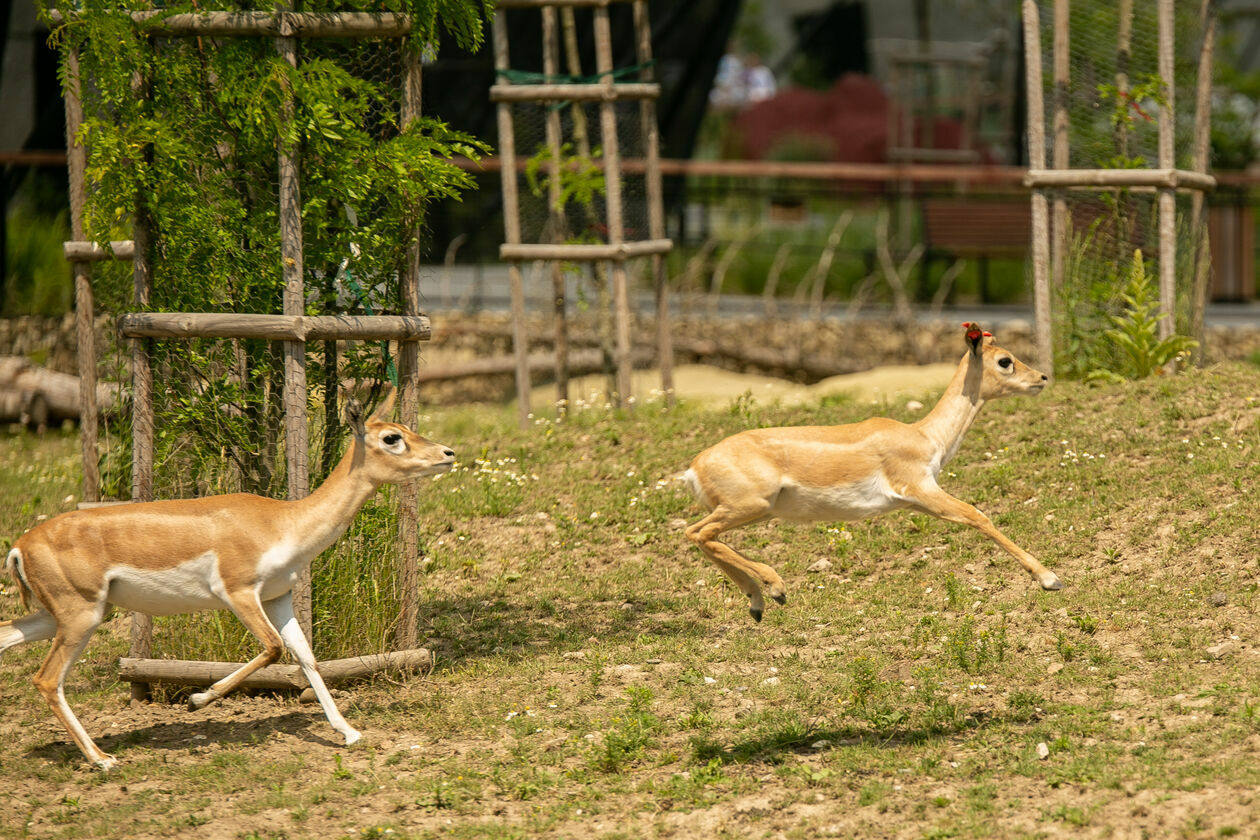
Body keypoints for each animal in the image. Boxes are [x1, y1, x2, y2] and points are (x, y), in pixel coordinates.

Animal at [0, 387, 453, 770]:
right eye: (392, 437)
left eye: (406, 428)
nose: (447, 453)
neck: (283, 521)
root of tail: (21, 544)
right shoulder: (237, 592)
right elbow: (273, 649)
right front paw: (196, 700)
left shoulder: (278, 596)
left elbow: (307, 658)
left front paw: (350, 732)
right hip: (82, 616)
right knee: (46, 679)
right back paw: (102, 759)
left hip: (60, 616)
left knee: (11, 640)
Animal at [685, 324, 1058, 622]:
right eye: (1005, 360)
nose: (1042, 378)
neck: (924, 436)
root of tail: (694, 466)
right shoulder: (921, 488)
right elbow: (978, 515)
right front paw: (1051, 579)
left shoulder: (916, 502)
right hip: (750, 507)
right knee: (698, 532)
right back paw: (776, 588)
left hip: (754, 511)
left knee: (701, 536)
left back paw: (759, 603)